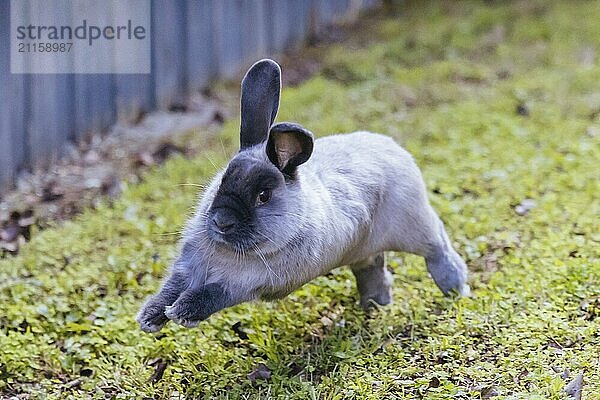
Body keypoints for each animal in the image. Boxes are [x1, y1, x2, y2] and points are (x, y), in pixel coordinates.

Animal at [137, 59, 468, 332]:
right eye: (221, 181)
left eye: (263, 195)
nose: (221, 221)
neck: (232, 251)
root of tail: (392, 147)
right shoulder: (188, 268)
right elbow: (169, 289)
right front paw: (150, 318)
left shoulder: (248, 283)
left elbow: (212, 294)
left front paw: (181, 312)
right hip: (363, 248)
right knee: (373, 267)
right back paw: (375, 304)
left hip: (415, 227)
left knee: (438, 247)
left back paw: (455, 288)